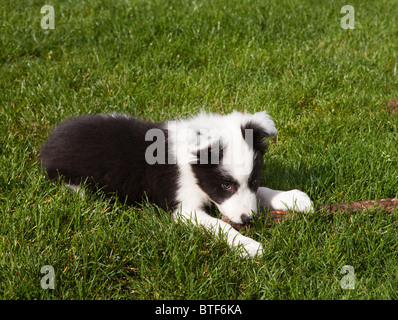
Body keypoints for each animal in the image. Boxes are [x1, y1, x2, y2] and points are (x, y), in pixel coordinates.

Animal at [40, 111, 314, 256]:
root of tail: (50, 142)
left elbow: (261, 192)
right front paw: (249, 246)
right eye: (226, 186)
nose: (249, 220)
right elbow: (220, 226)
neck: (192, 168)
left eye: (254, 179)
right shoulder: (184, 209)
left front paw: (293, 198)